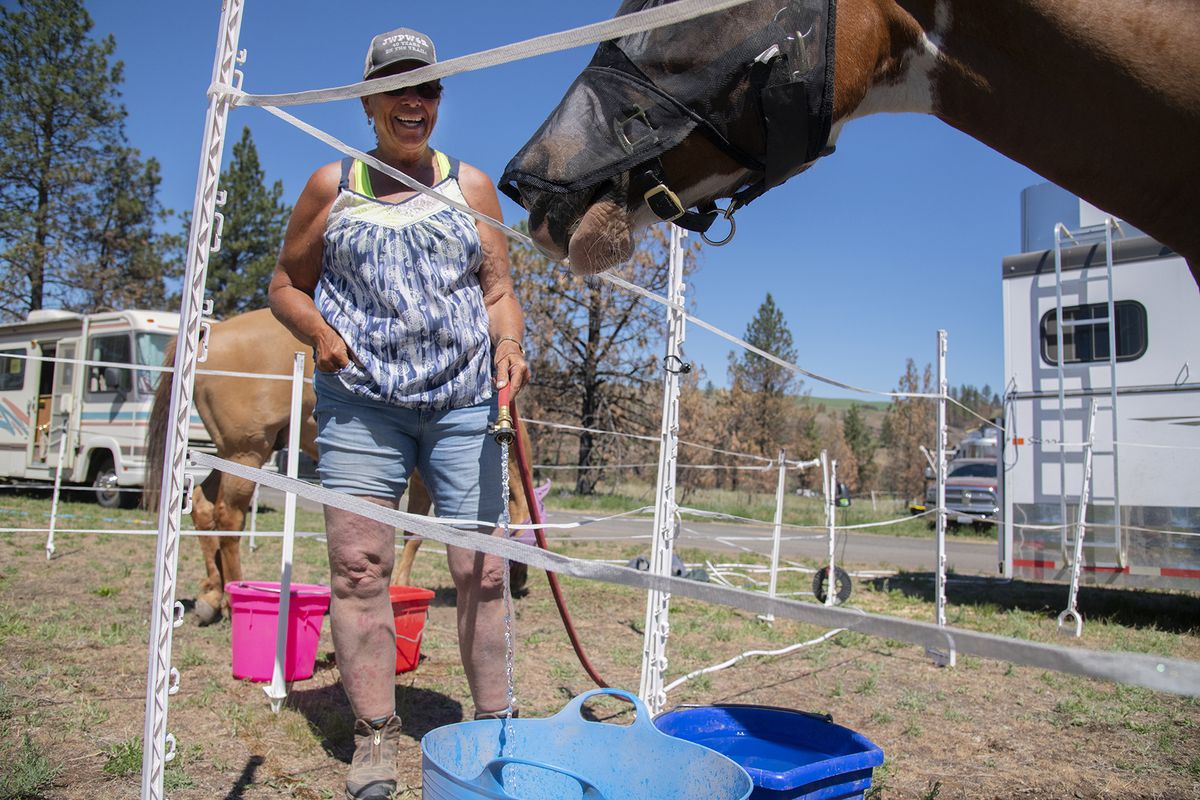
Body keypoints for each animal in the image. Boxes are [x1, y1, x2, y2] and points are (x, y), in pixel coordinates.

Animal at [145, 307, 530, 623]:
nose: (520, 584)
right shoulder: (423, 475)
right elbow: (417, 531)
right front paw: (403, 584)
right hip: (246, 451)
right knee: (228, 516)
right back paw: (233, 594)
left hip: (231, 454)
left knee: (202, 506)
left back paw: (212, 594)